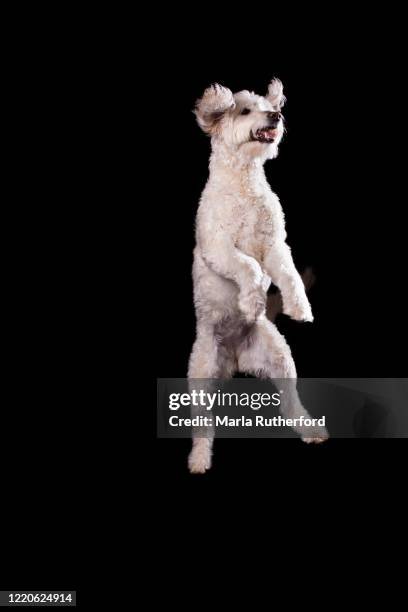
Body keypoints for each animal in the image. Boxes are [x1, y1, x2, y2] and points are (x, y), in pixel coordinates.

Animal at [189, 81, 328, 474]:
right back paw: (199, 459)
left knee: (290, 402)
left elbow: (291, 276)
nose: (277, 115)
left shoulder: (275, 246)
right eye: (245, 110)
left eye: (270, 106)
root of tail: (234, 359)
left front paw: (300, 307)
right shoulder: (219, 247)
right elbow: (248, 267)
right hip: (200, 374)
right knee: (202, 425)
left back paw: (310, 428)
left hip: (280, 358)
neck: (244, 180)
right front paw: (252, 301)